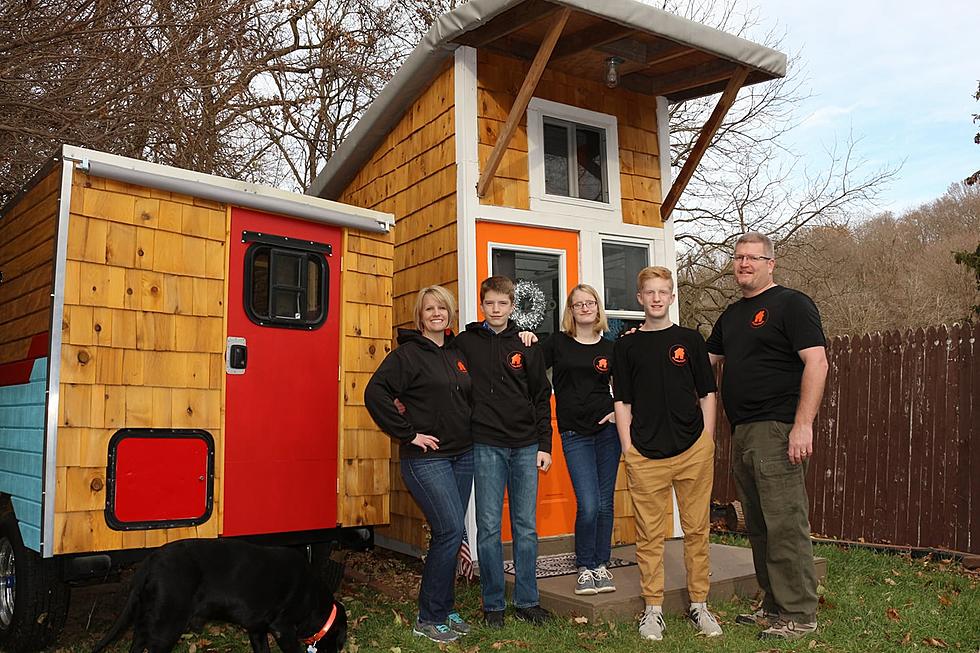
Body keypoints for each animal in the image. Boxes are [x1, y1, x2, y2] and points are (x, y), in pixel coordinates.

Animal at [89, 536, 348, 652]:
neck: (314, 600)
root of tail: (150, 561)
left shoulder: (257, 630)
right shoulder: (283, 629)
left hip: (147, 619)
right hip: (167, 627)